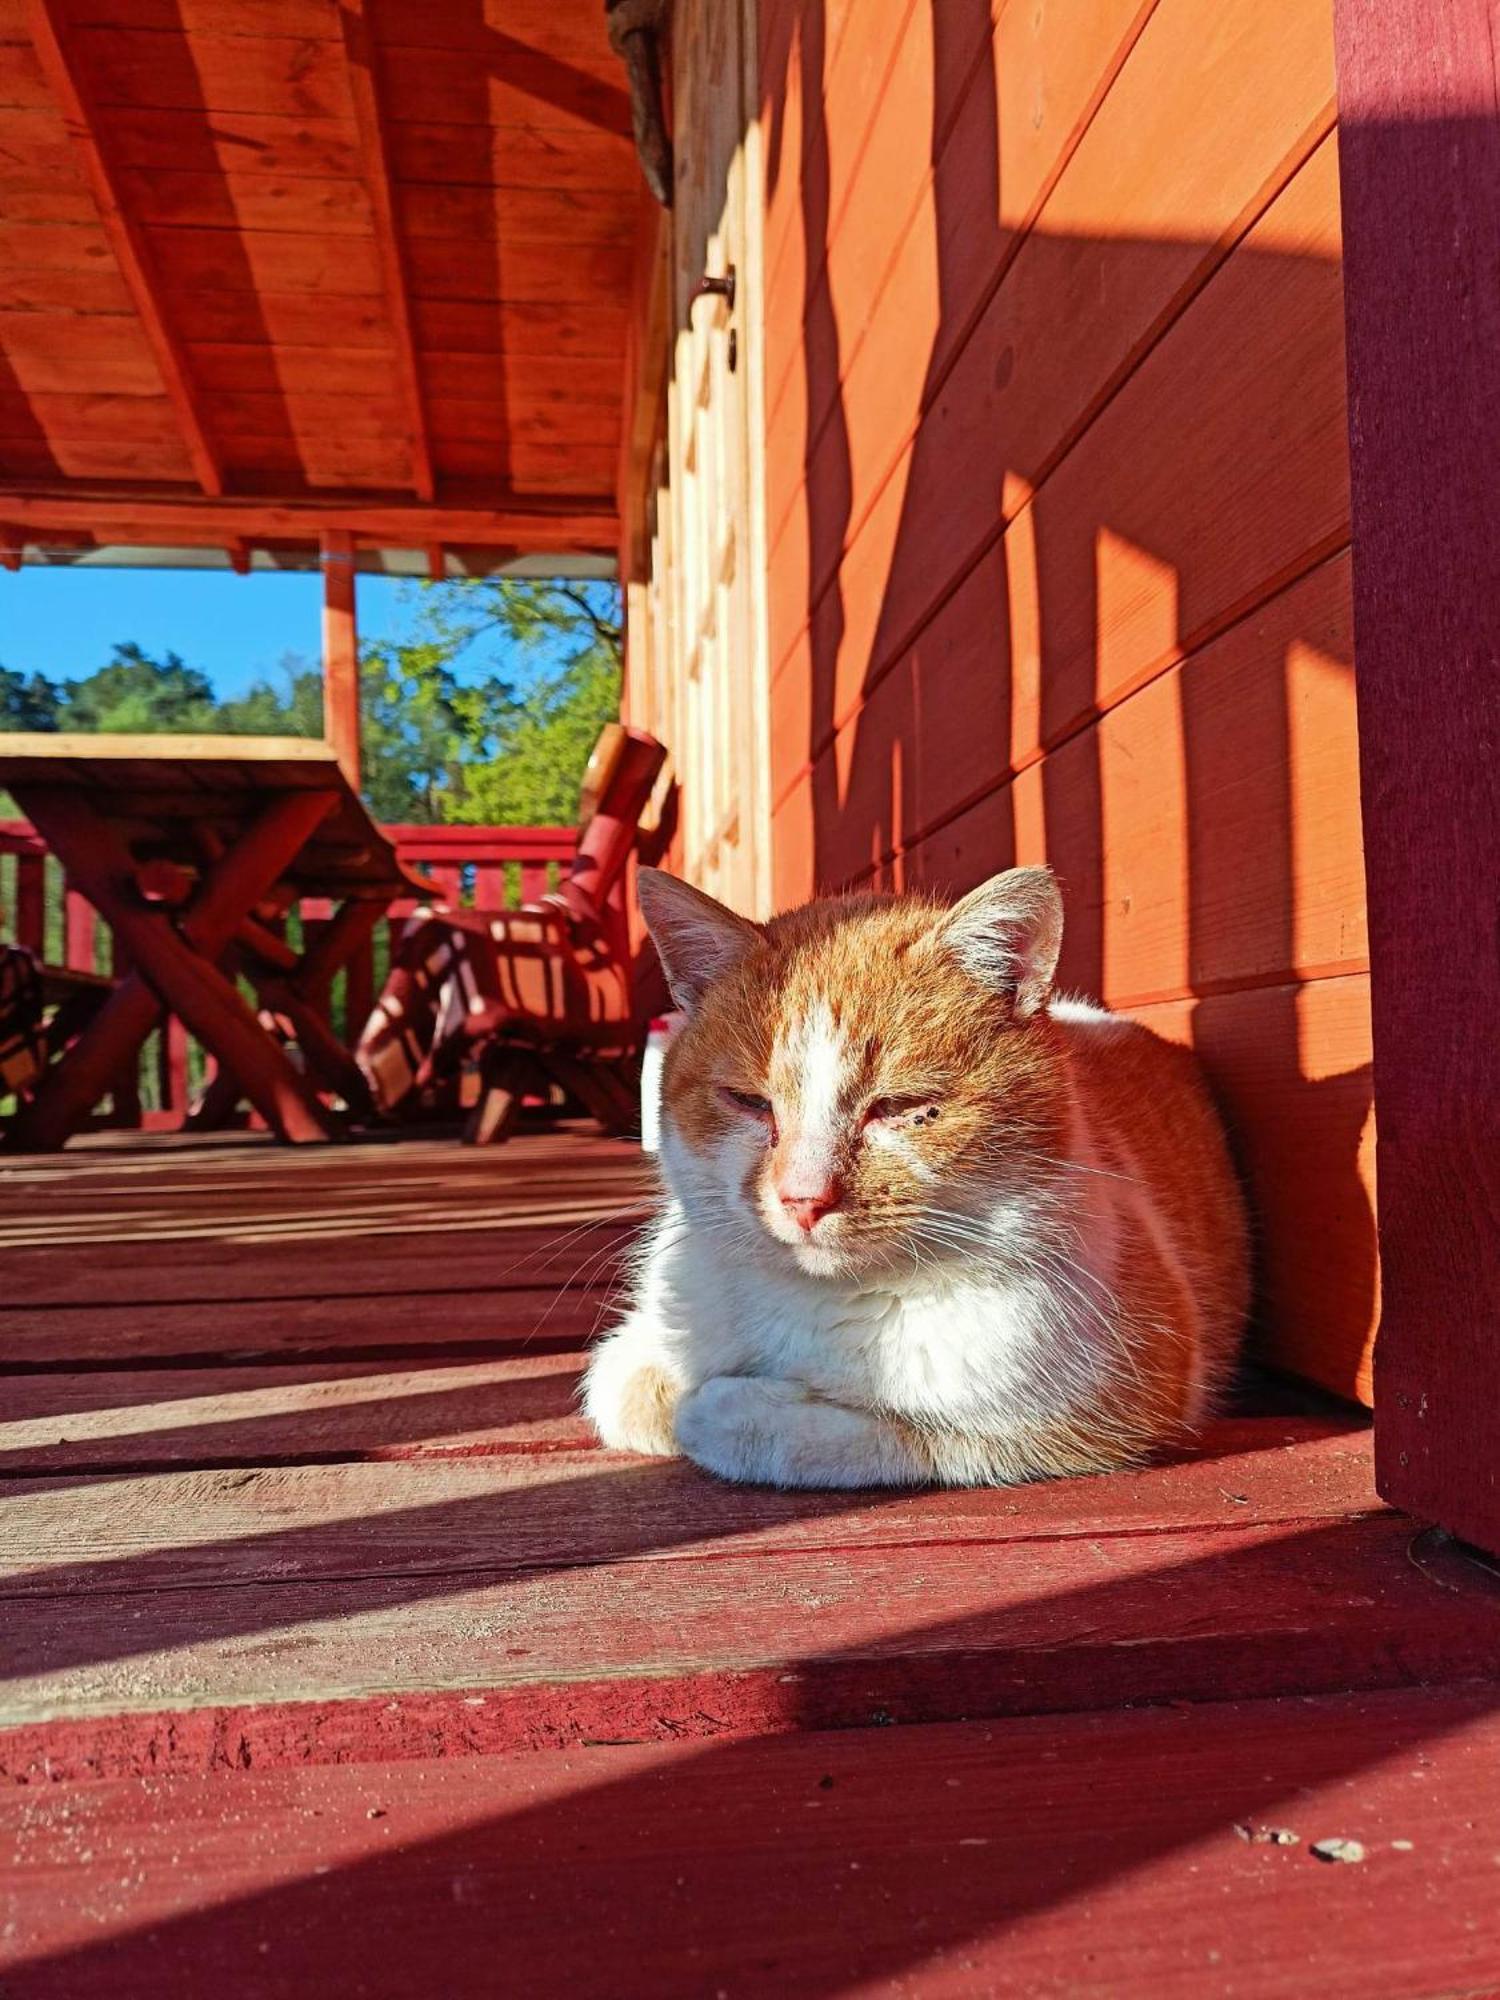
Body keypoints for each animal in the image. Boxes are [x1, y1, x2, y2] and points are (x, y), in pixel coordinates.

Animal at [580, 868, 1248, 1496]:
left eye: (900, 1107)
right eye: (748, 1101)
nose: (803, 1198)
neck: (822, 1300)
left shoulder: (1110, 1404)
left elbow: (886, 1434)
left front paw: (724, 1409)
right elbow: (623, 1385)